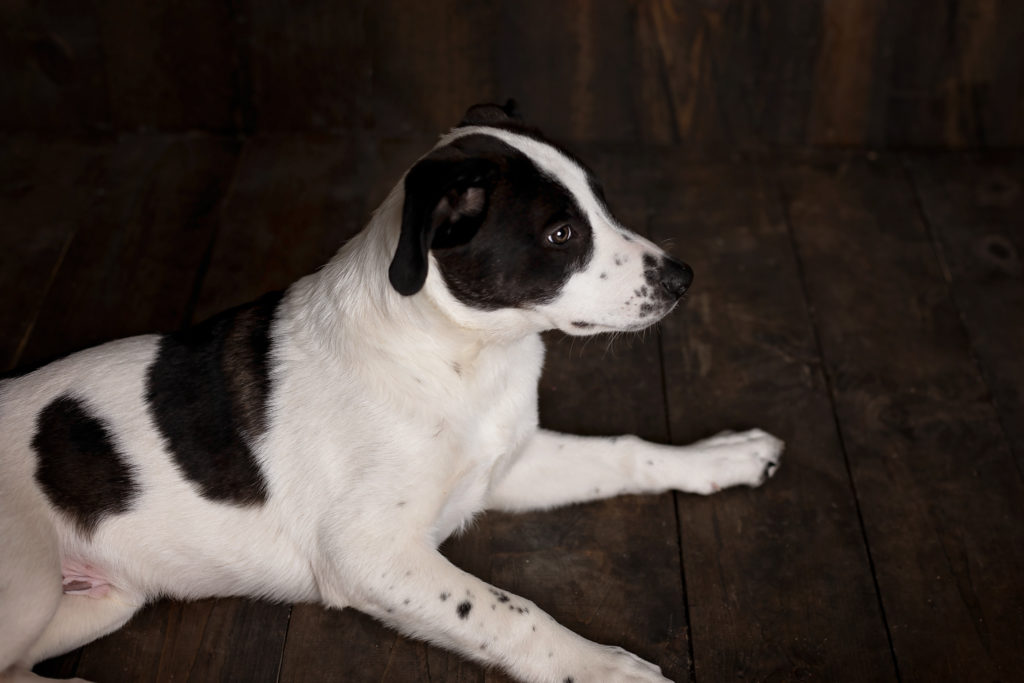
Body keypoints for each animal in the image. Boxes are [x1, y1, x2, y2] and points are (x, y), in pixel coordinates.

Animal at [2, 102, 782, 683]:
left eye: (600, 204)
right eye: (562, 234)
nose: (682, 279)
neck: (457, 356)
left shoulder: (507, 463)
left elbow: (623, 451)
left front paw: (719, 456)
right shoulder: (370, 554)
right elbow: (508, 609)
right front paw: (601, 667)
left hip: (104, 599)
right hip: (32, 583)